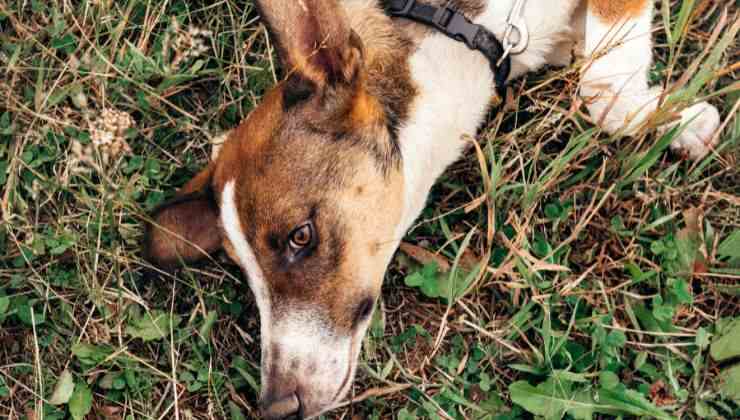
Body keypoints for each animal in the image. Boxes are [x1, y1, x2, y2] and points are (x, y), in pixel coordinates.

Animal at [143, 1, 716, 418]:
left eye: (300, 236)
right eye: (243, 273)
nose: (276, 407)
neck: (467, 32)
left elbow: (603, 94)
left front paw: (680, 120)